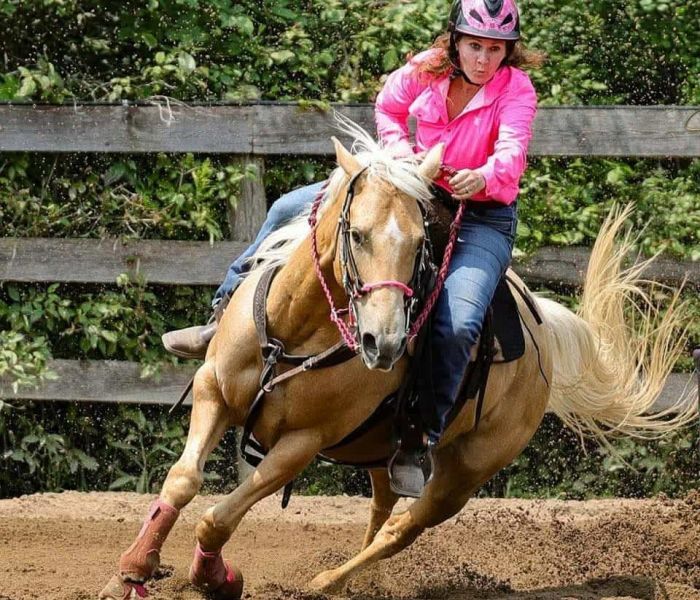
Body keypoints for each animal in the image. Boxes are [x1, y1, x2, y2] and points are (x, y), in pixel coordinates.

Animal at [100, 120, 696, 600]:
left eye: (418, 243)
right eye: (357, 234)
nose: (382, 343)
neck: (298, 330)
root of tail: (544, 330)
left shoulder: (300, 445)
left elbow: (217, 518)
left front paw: (216, 579)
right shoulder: (214, 389)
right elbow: (183, 481)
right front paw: (132, 570)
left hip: (467, 471)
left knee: (402, 528)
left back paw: (326, 583)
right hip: (381, 450)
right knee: (382, 508)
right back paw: (356, 583)